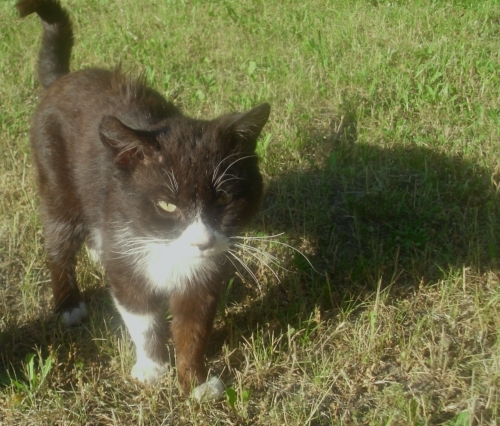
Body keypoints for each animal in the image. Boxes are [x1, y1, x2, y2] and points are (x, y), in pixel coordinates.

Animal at [16, 0, 270, 400]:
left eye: (224, 198)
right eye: (167, 205)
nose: (202, 242)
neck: (165, 247)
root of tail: (62, 78)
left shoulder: (206, 269)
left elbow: (195, 322)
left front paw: (195, 382)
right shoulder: (126, 245)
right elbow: (140, 312)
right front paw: (152, 368)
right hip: (55, 174)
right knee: (58, 237)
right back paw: (69, 303)